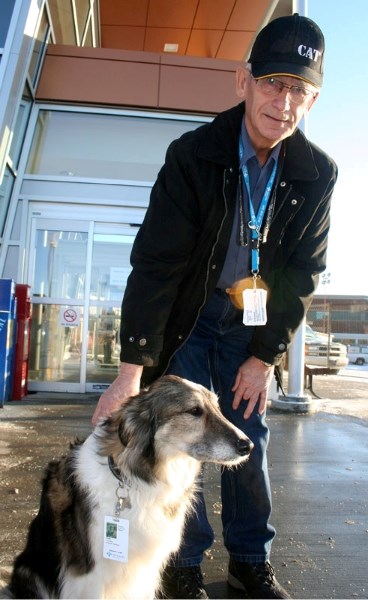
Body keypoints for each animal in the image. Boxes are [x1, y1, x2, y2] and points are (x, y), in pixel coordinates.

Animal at [5, 372, 253, 596]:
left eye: (218, 408)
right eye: (194, 411)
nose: (248, 446)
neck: (136, 479)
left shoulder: (146, 571)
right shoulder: (91, 576)